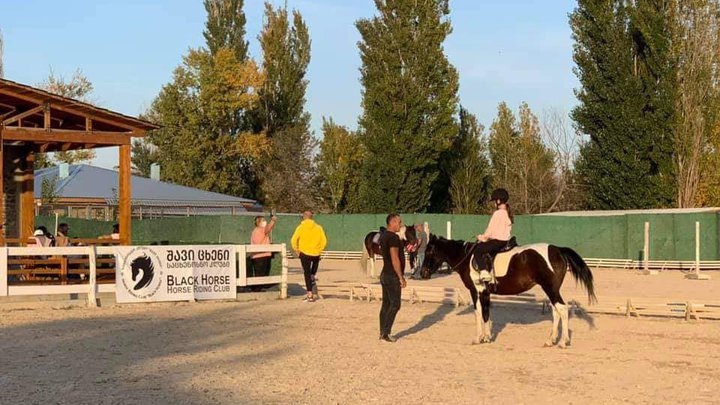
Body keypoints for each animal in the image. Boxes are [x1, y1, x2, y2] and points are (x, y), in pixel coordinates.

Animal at [420, 234, 592, 348]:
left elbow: (479, 313)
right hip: (550, 289)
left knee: (562, 309)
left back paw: (563, 342)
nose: (423, 274)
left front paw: (480, 338)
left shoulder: (477, 291)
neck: (467, 257)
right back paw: (551, 340)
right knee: (556, 311)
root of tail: (557, 250)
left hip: (551, 288)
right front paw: (486, 336)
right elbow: (486, 313)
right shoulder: (486, 292)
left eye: (428, 252)